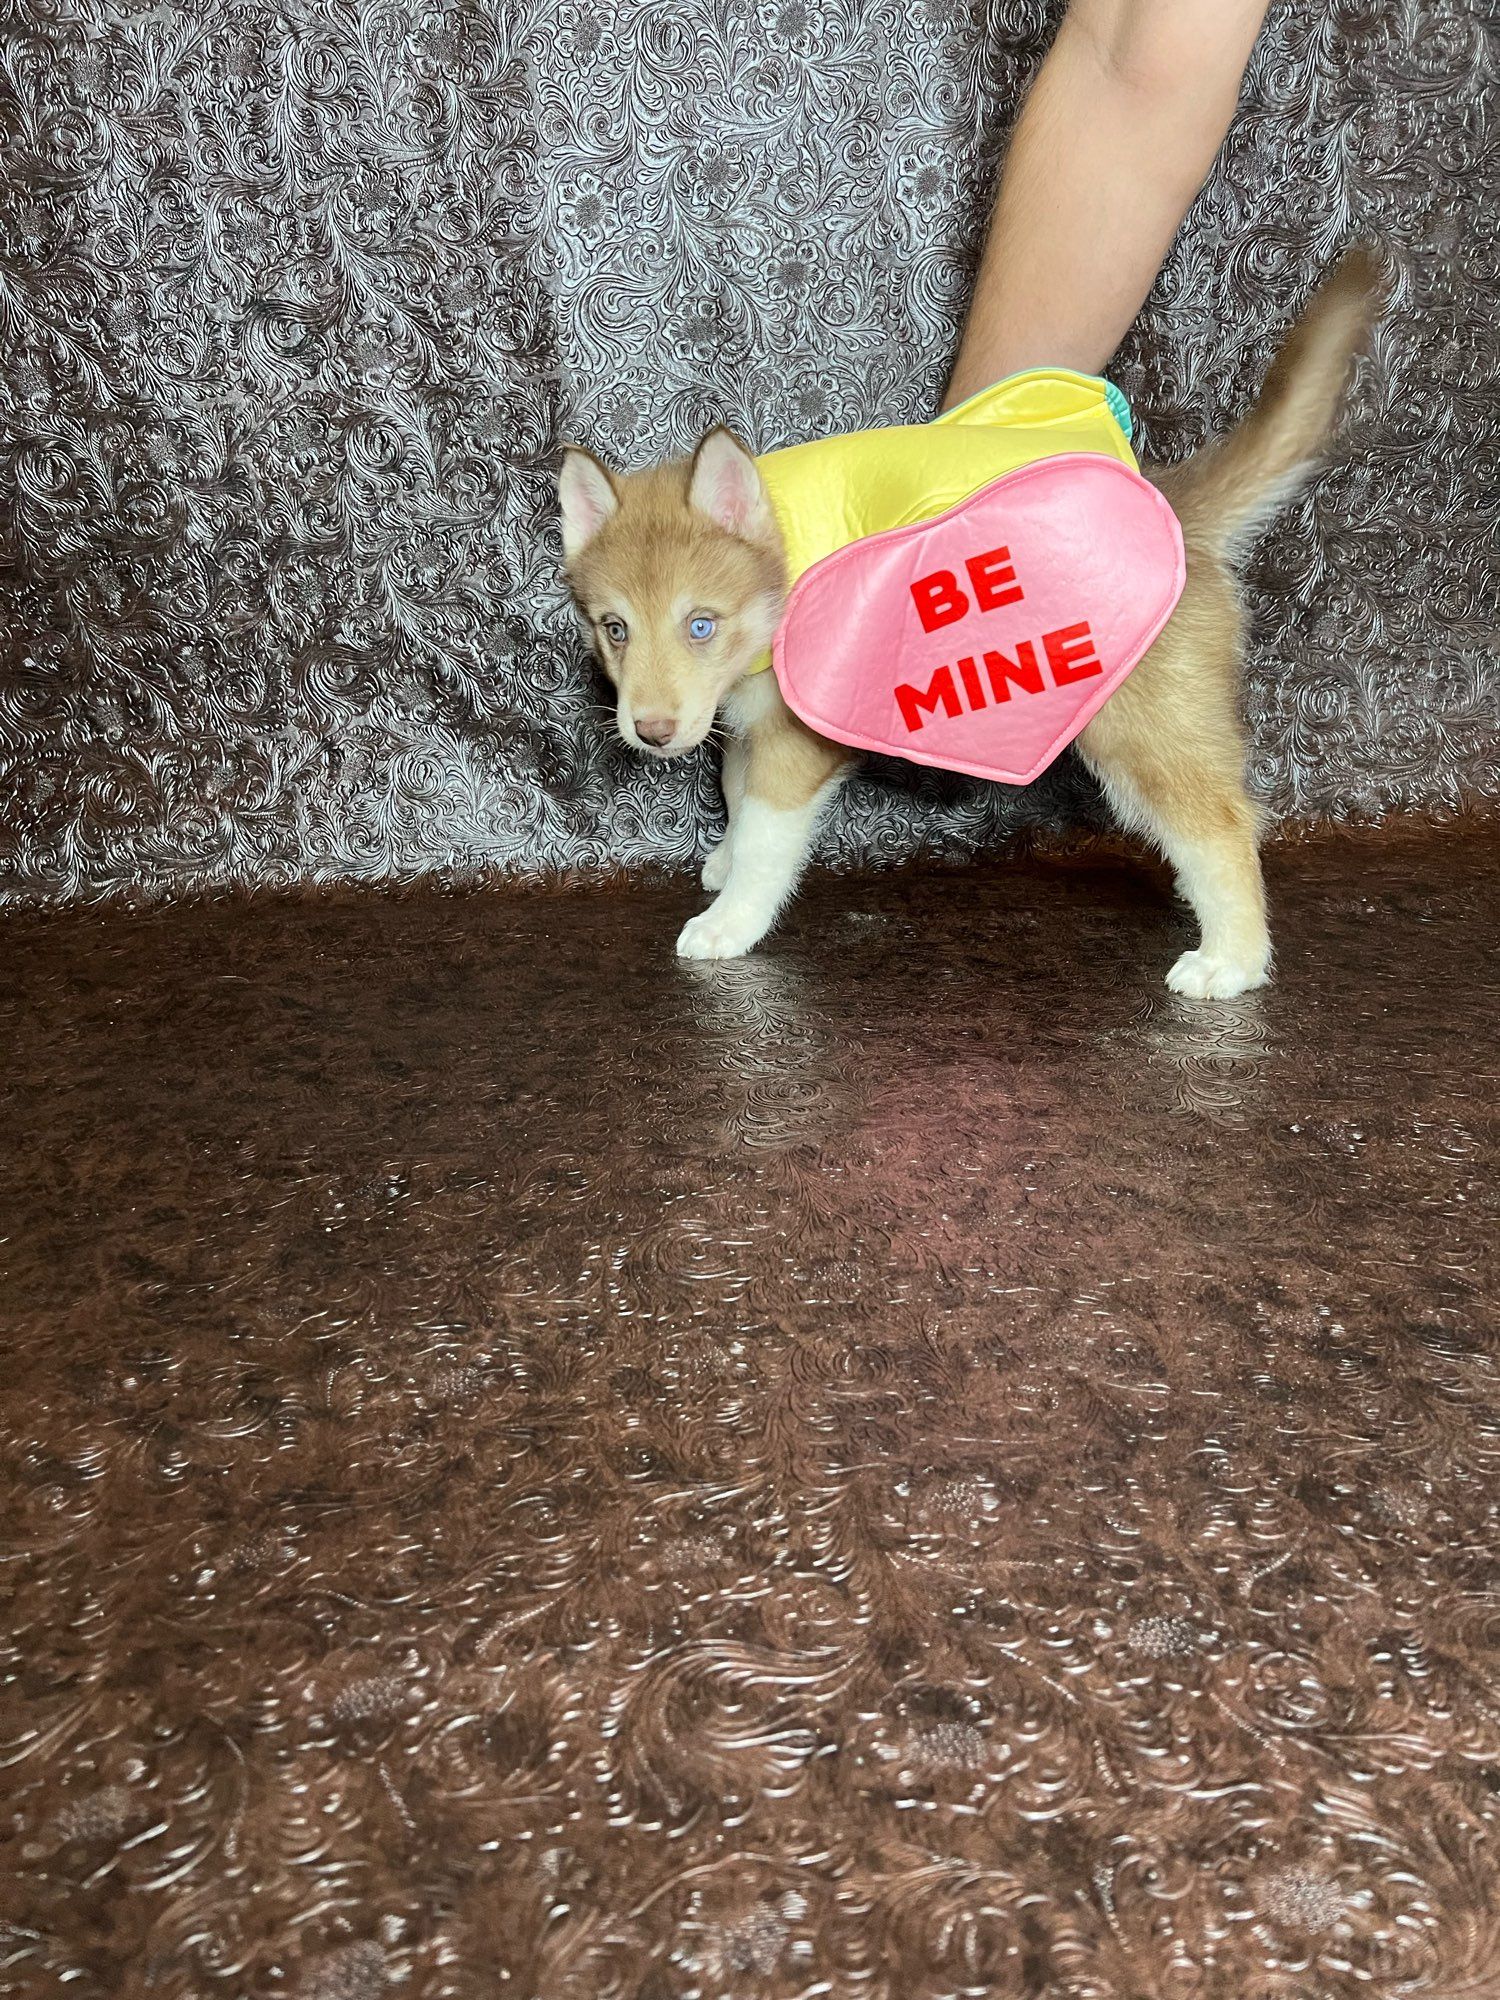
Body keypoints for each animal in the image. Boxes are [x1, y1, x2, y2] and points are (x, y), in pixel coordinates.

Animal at [557, 249, 1380, 998]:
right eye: (614, 629)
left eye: (700, 625)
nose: (650, 733)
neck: (782, 572)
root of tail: (1174, 507)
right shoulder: (745, 718)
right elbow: (734, 789)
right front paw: (724, 859)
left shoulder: (795, 739)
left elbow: (766, 837)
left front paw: (730, 919)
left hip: (1140, 727)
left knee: (1223, 825)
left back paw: (1231, 960)